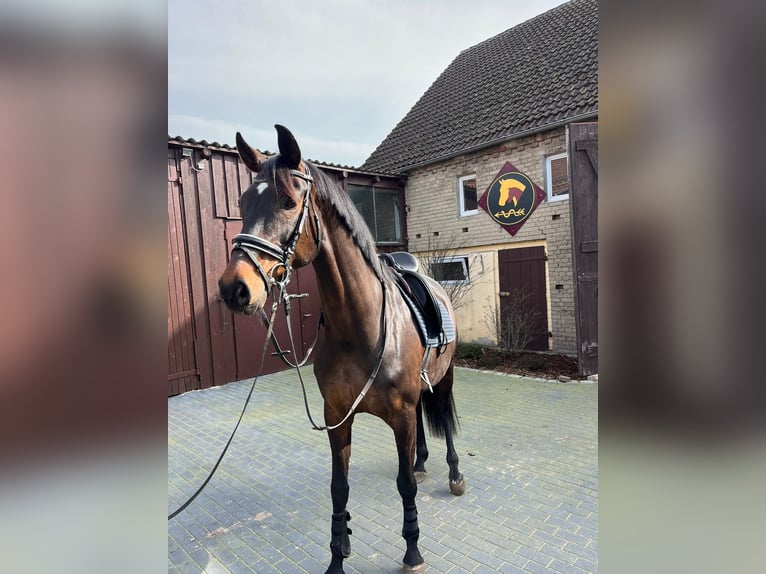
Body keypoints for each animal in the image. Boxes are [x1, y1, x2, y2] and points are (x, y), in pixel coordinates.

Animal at [219, 126, 464, 574]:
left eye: (288, 201)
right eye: (243, 203)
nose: (235, 288)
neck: (360, 328)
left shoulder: (400, 414)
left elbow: (404, 485)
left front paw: (413, 551)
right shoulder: (337, 416)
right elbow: (339, 487)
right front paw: (337, 555)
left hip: (444, 377)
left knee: (445, 421)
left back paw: (454, 475)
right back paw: (422, 461)